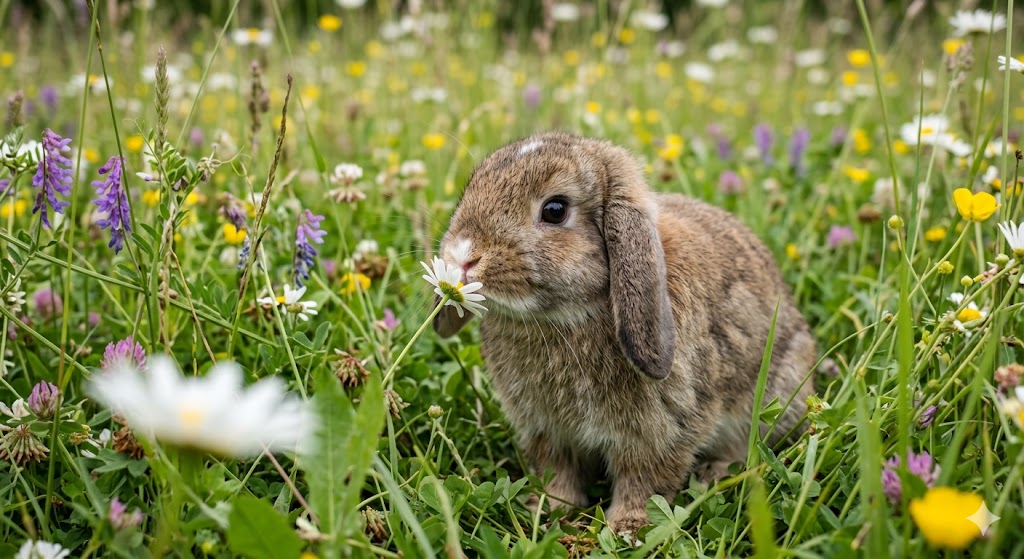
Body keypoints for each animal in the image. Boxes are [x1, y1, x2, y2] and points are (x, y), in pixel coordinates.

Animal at [433, 132, 816, 534]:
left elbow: (645, 482)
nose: (463, 256)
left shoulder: (660, 433)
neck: (568, 316)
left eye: (555, 209)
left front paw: (628, 529)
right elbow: (559, 474)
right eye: (473, 185)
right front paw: (549, 511)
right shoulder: (549, 433)